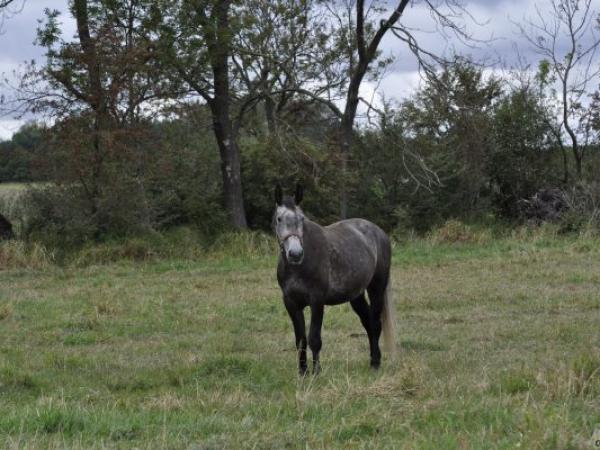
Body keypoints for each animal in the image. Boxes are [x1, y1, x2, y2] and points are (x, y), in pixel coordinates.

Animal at [274, 182, 396, 372]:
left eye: (302, 218)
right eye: (279, 219)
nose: (295, 254)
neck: (299, 267)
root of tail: (380, 233)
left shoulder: (317, 301)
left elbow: (314, 339)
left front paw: (316, 372)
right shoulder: (291, 303)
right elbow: (300, 340)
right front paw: (302, 372)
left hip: (377, 287)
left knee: (375, 324)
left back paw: (376, 363)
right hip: (356, 295)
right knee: (368, 323)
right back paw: (372, 360)